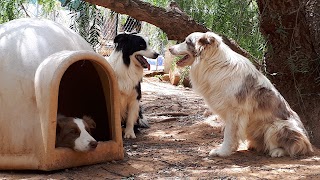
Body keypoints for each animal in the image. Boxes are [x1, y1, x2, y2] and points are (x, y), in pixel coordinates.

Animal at [169, 31, 314, 157]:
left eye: (187, 41)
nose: (169, 48)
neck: (214, 63)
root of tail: (309, 143)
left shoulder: (234, 111)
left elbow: (229, 133)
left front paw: (223, 152)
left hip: (277, 127)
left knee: (297, 146)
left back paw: (278, 151)